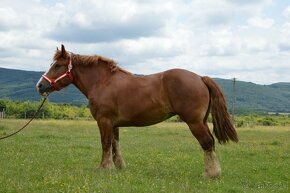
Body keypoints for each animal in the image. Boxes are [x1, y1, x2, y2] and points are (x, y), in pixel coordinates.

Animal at [36, 44, 237, 179]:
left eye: (57, 65)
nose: (40, 85)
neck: (103, 82)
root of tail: (200, 78)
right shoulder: (114, 123)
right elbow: (115, 144)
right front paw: (118, 166)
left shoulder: (104, 120)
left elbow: (105, 143)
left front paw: (104, 168)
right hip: (201, 121)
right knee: (209, 143)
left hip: (194, 122)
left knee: (207, 142)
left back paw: (211, 174)